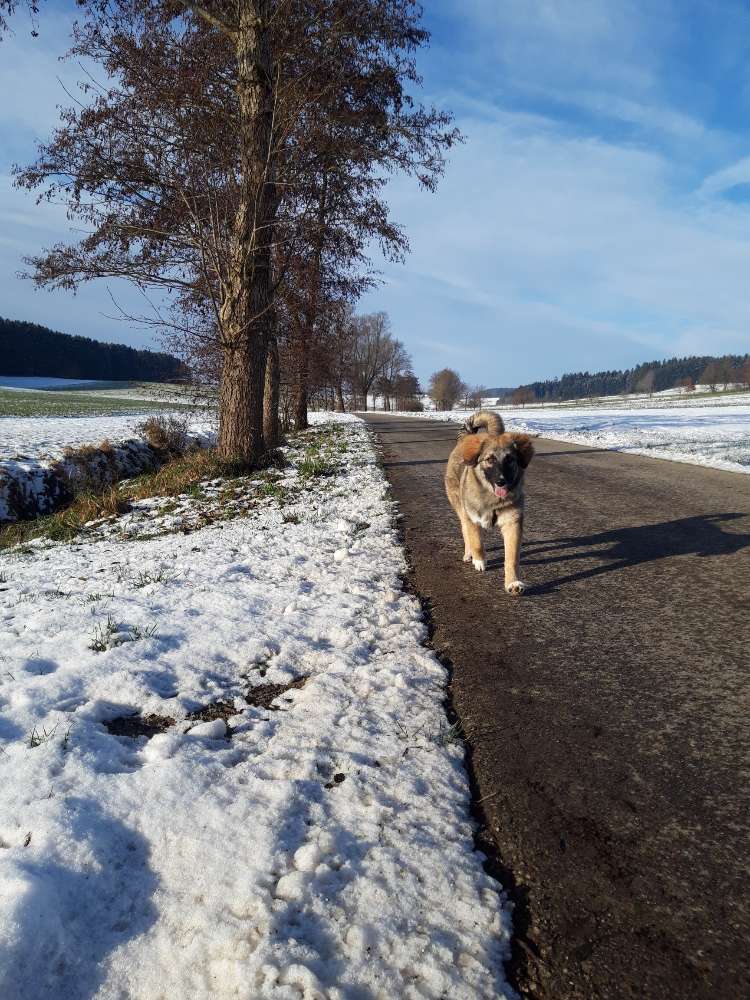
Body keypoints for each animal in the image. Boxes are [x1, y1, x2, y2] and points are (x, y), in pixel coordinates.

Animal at [446, 412, 536, 592]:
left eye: (510, 459)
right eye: (490, 459)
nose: (501, 482)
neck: (492, 499)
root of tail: (467, 437)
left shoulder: (512, 523)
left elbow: (512, 558)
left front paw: (513, 582)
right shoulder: (472, 518)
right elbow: (476, 542)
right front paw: (479, 560)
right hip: (460, 507)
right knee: (465, 531)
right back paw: (469, 554)